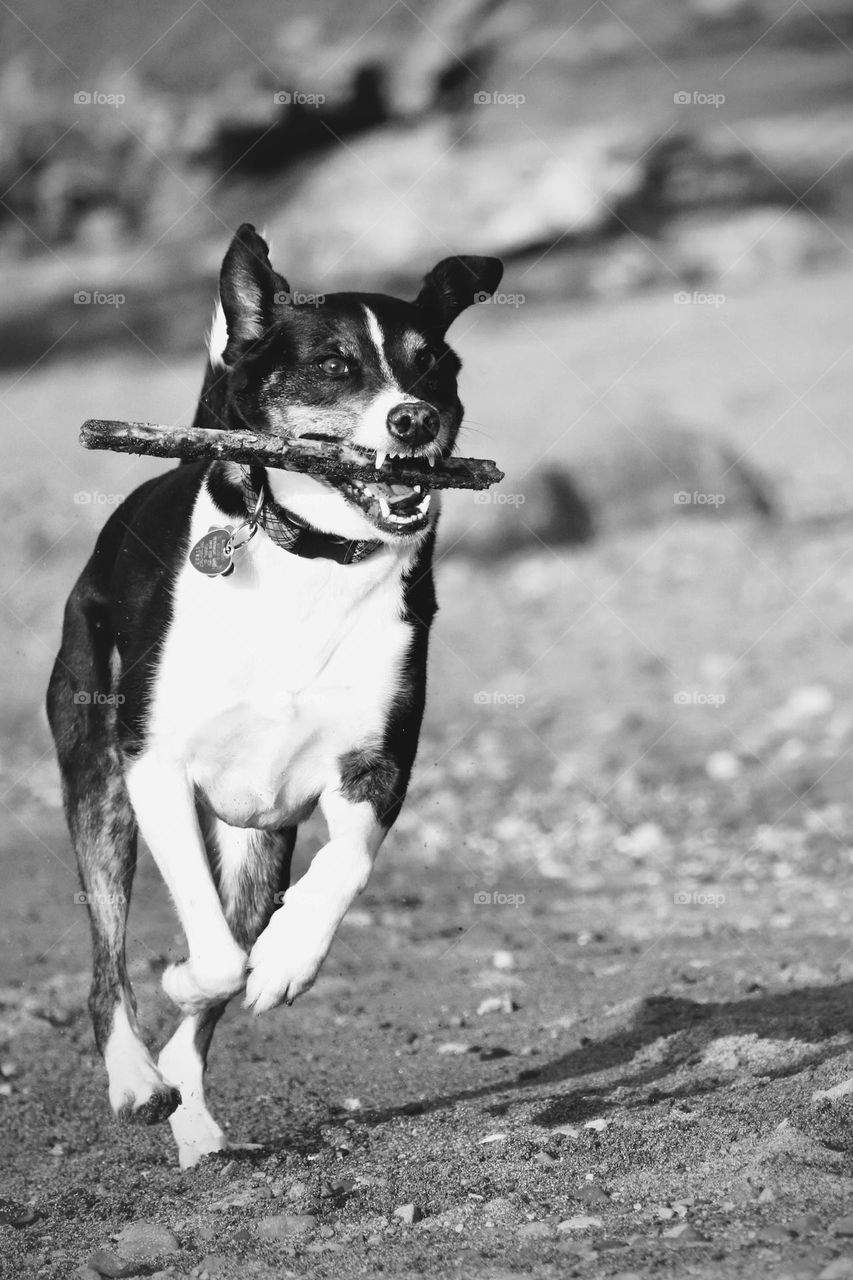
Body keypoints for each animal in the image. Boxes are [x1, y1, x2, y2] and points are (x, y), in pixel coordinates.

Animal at [46, 222, 502, 1172]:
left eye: (433, 364)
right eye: (333, 365)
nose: (414, 418)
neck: (314, 556)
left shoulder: (376, 765)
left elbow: (342, 869)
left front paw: (289, 959)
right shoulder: (155, 766)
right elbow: (210, 959)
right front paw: (184, 977)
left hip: (258, 838)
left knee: (226, 957)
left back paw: (192, 1115)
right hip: (98, 780)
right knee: (108, 957)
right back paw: (137, 1082)